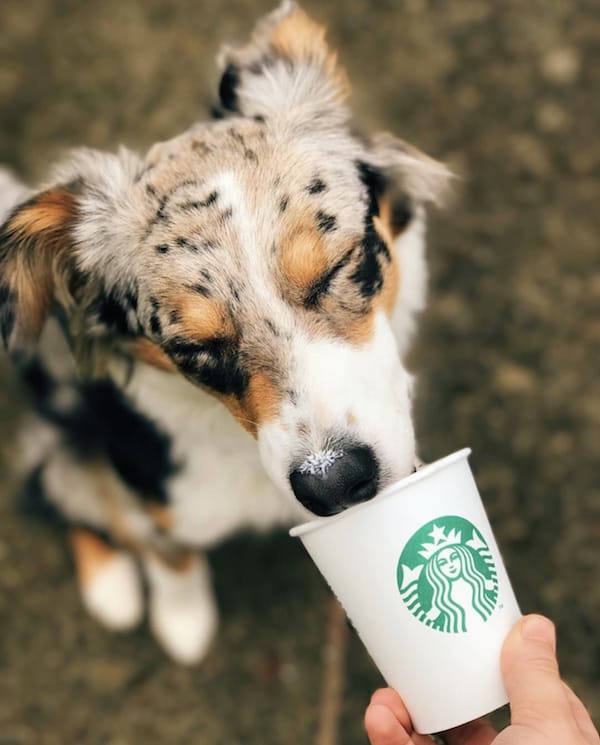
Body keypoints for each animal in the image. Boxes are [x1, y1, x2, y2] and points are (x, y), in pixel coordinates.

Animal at [0, 0, 450, 664]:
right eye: (193, 348)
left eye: (338, 267)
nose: (335, 484)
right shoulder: (147, 479)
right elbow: (169, 549)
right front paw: (184, 621)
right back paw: (112, 587)